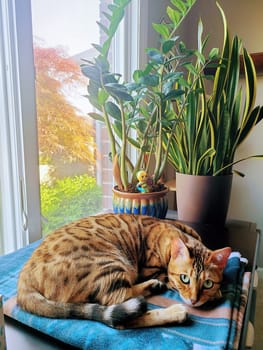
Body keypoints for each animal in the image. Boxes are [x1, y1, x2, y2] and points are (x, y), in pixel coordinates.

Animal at [17, 213, 231, 328]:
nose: (194, 300)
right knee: (122, 314)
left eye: (207, 283)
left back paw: (153, 287)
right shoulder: (152, 269)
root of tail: (23, 279)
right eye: (184, 278)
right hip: (109, 263)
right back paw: (174, 312)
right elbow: (167, 278)